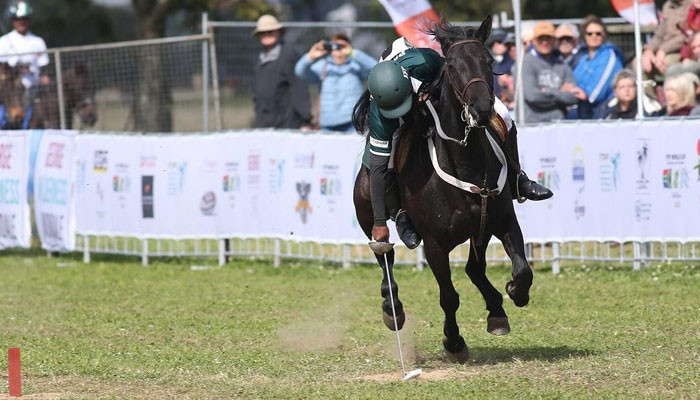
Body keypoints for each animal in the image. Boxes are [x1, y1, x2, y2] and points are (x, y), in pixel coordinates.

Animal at [350, 15, 532, 360]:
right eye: (452, 66)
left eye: (489, 61)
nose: (482, 109)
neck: (467, 162)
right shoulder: (434, 245)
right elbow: (448, 296)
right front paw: (454, 341)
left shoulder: (503, 220)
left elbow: (522, 271)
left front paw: (513, 293)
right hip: (367, 212)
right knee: (385, 256)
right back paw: (392, 307)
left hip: (479, 228)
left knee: (474, 269)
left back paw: (496, 310)